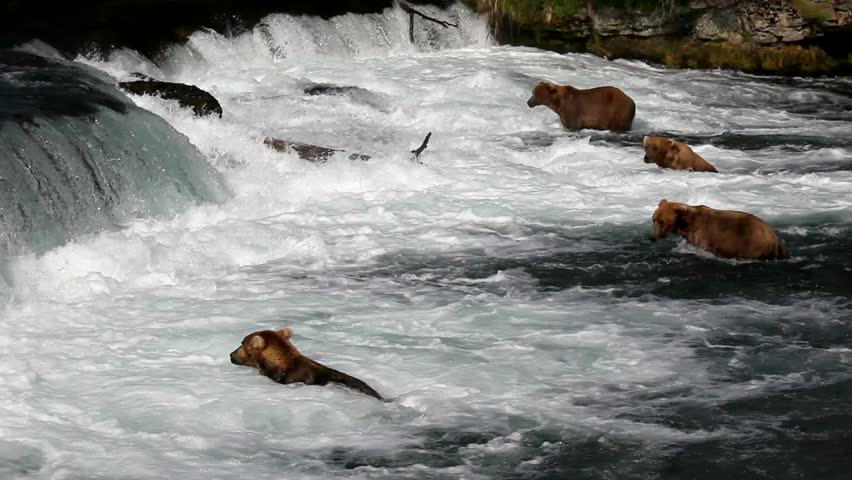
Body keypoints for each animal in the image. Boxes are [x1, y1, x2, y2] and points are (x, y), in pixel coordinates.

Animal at [650, 199, 788, 260]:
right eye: (653, 219)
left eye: (662, 222)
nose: (651, 237)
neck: (686, 225)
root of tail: (774, 237)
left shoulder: (704, 237)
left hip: (751, 242)